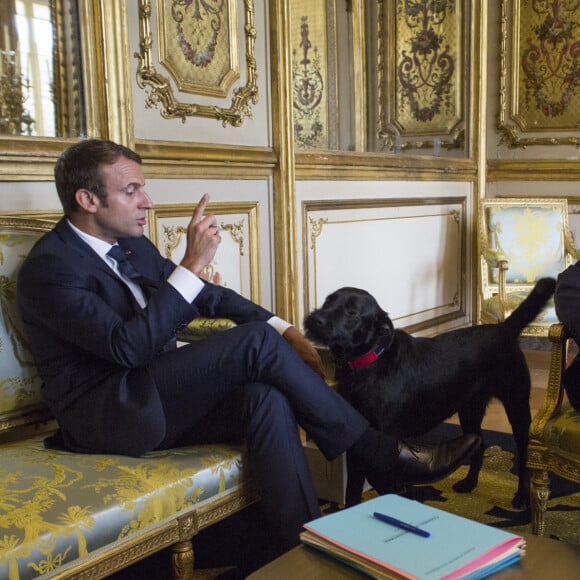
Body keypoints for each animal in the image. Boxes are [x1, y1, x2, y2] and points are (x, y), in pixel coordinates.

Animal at [302, 276, 556, 508]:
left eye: (352, 313)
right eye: (327, 301)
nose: (315, 319)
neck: (369, 361)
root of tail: (504, 328)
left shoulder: (382, 442)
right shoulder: (356, 447)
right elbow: (352, 494)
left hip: (517, 406)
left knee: (524, 454)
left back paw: (522, 496)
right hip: (470, 409)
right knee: (480, 444)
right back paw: (469, 483)